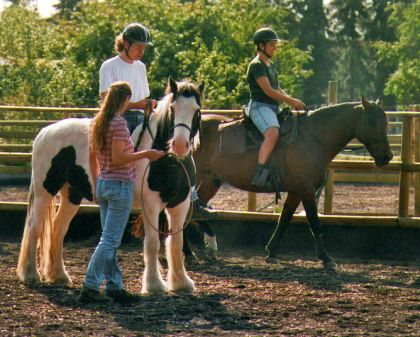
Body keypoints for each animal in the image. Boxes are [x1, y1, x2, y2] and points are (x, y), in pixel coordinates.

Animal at [17, 77, 204, 292]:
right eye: (173, 108)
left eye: (197, 110)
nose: (179, 145)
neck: (169, 161)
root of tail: (44, 132)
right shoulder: (151, 204)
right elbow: (153, 244)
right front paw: (154, 285)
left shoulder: (180, 205)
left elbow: (176, 243)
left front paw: (182, 282)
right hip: (45, 190)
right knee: (35, 227)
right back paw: (30, 274)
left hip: (71, 194)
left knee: (58, 228)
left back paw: (58, 276)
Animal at [194, 97, 394, 270]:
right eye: (374, 123)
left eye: (386, 123)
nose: (387, 157)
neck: (313, 137)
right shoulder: (306, 190)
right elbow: (314, 223)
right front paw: (326, 258)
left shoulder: (296, 192)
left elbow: (284, 219)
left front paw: (272, 252)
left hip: (211, 181)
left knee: (198, 209)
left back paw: (201, 250)